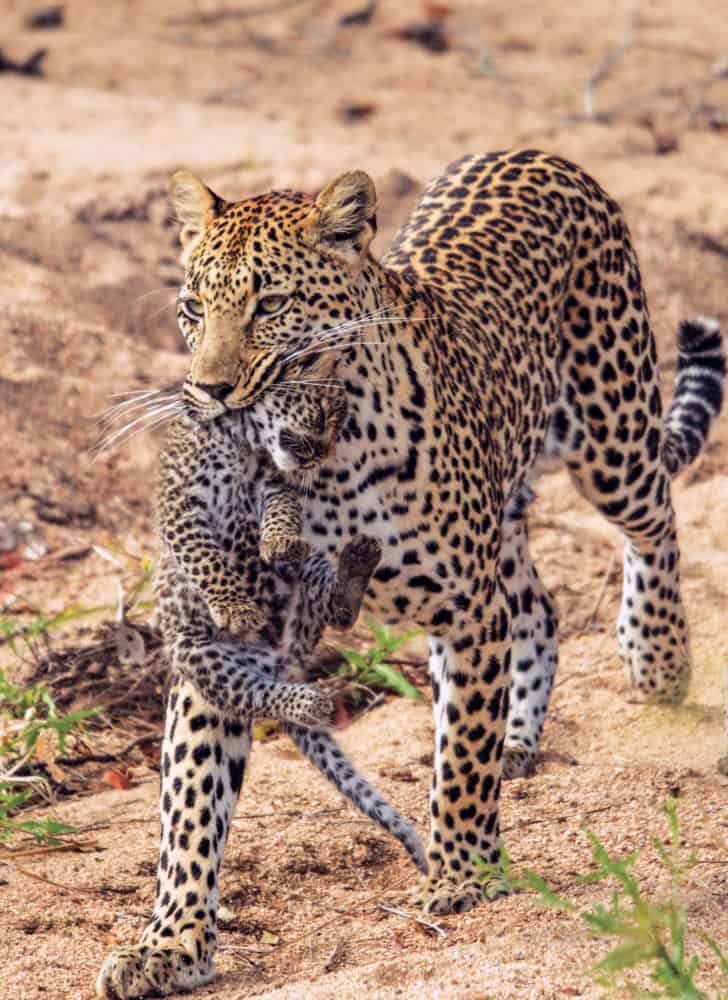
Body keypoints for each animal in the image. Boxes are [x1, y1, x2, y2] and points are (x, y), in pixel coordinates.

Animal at [97, 150, 724, 997]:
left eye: (270, 305)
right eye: (192, 308)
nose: (208, 393)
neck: (323, 461)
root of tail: (536, 154)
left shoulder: (464, 612)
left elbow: (459, 753)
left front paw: (461, 875)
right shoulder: (228, 639)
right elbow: (190, 806)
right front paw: (171, 944)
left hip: (611, 431)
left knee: (655, 521)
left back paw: (658, 659)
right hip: (506, 506)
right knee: (538, 607)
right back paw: (521, 740)